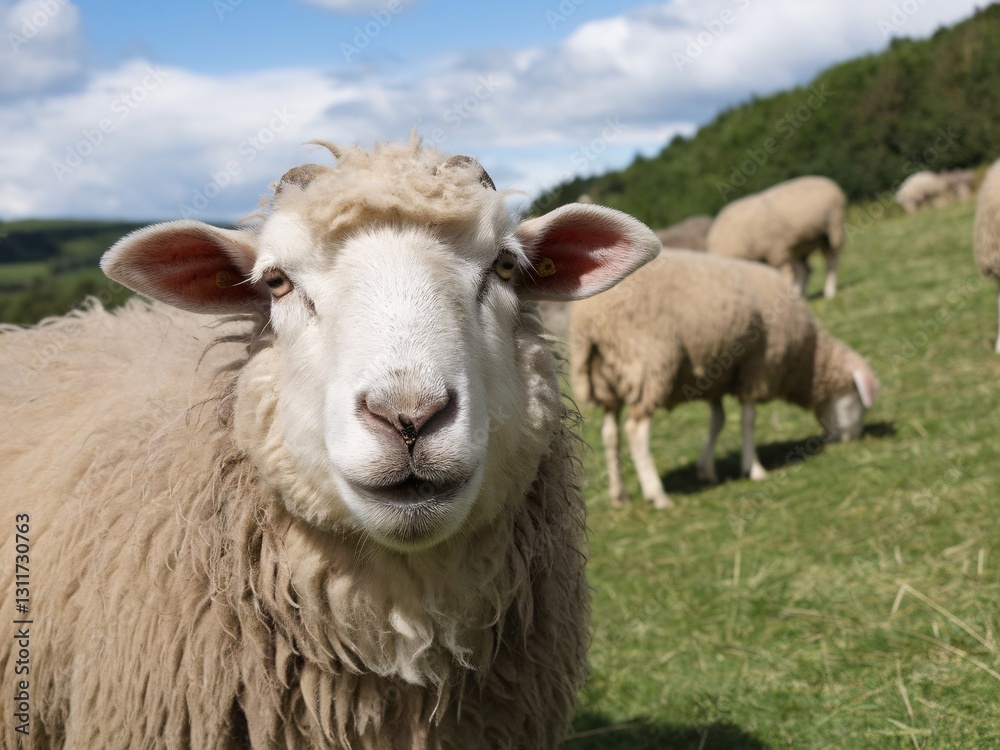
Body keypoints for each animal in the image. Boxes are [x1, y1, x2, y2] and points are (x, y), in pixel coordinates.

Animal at [570, 249, 879, 509]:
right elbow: (748, 421)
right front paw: (754, 469)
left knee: (610, 434)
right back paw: (657, 494)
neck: (807, 359)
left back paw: (619, 495)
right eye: (857, 399)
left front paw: (706, 469)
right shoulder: (757, 369)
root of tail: (590, 319)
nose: (852, 439)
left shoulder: (716, 378)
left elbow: (717, 422)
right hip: (650, 365)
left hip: (608, 380)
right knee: (636, 431)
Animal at [706, 175, 847, 299]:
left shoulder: (776, 250)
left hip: (832, 229)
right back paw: (799, 295)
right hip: (802, 244)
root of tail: (828, 181)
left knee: (831, 260)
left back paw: (829, 292)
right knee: (805, 270)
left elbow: (785, 276)